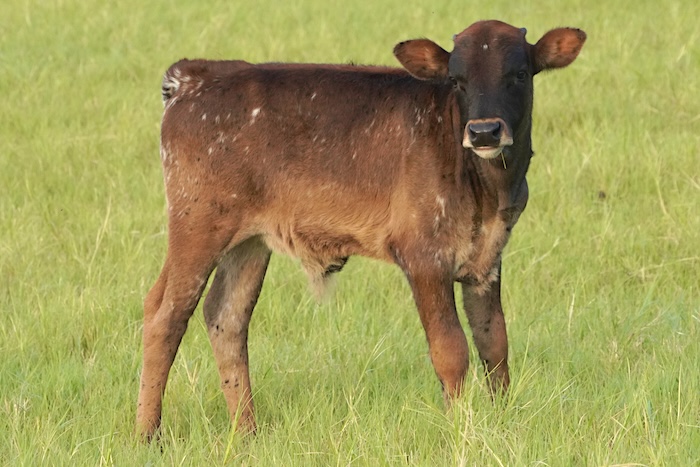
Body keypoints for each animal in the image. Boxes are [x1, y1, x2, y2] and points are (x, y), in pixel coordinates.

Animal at [136, 20, 586, 439]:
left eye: (520, 74)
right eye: (457, 80)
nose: (484, 131)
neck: (487, 188)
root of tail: (195, 77)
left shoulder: (487, 259)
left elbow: (495, 344)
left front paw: (501, 421)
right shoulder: (424, 257)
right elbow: (451, 351)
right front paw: (462, 429)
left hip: (248, 242)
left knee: (226, 317)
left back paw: (247, 431)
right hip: (197, 225)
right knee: (165, 314)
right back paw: (147, 434)